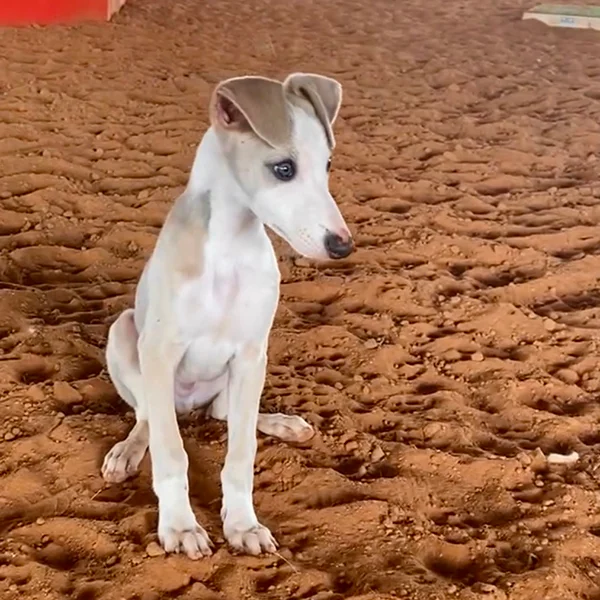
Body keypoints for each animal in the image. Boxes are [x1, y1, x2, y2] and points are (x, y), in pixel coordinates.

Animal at [101, 74, 354, 556]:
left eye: (329, 165)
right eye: (284, 169)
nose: (343, 246)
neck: (229, 250)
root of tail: (188, 406)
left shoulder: (250, 355)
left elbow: (241, 453)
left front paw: (243, 524)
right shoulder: (160, 350)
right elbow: (171, 453)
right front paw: (180, 526)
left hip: (240, 378)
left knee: (224, 414)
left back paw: (282, 423)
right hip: (125, 335)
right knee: (148, 417)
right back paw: (127, 451)